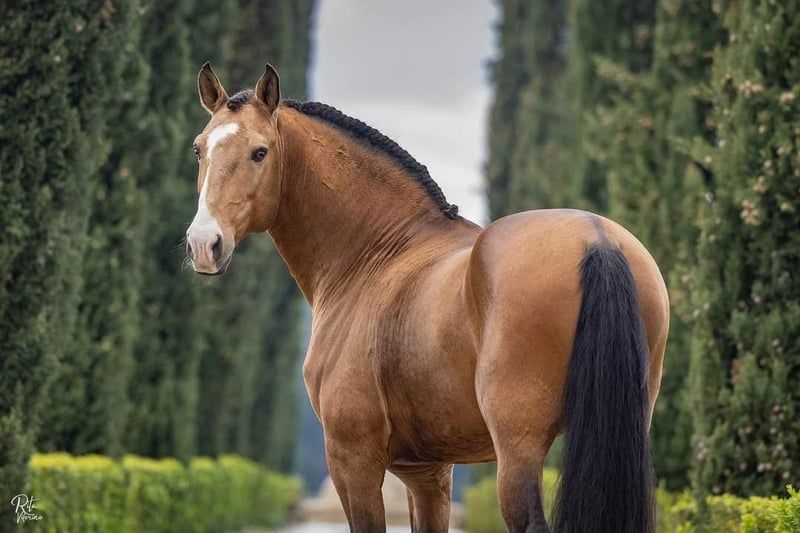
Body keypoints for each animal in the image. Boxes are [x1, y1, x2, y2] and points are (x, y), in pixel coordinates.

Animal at [185, 62, 669, 533]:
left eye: (260, 151)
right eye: (198, 149)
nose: (204, 244)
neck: (377, 254)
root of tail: (597, 239)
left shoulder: (352, 458)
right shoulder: (427, 472)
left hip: (519, 449)